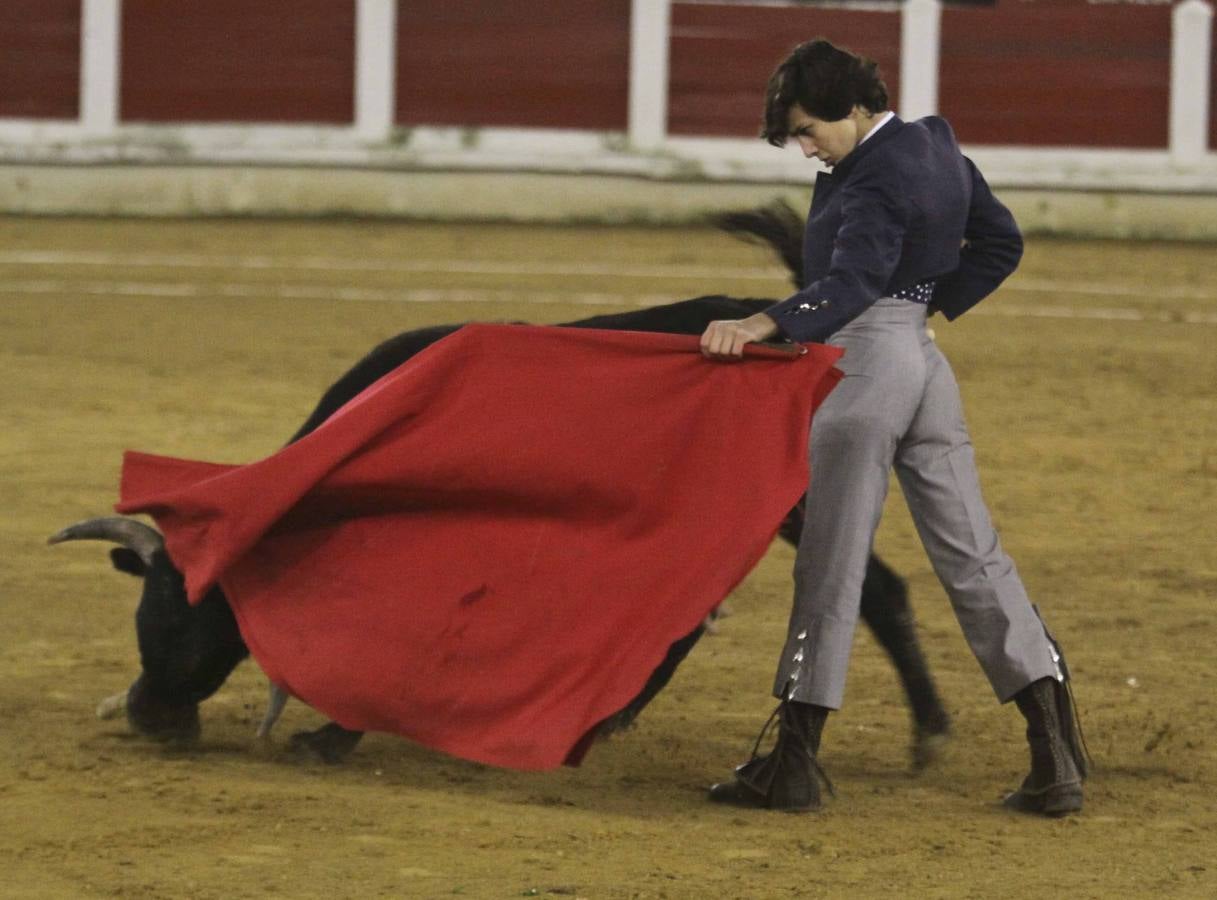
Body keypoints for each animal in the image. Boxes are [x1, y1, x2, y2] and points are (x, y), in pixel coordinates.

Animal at [52, 214, 949, 768]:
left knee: (868, 592)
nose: (148, 715)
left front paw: (336, 734)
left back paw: (930, 732)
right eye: (143, 614)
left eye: (187, 618)